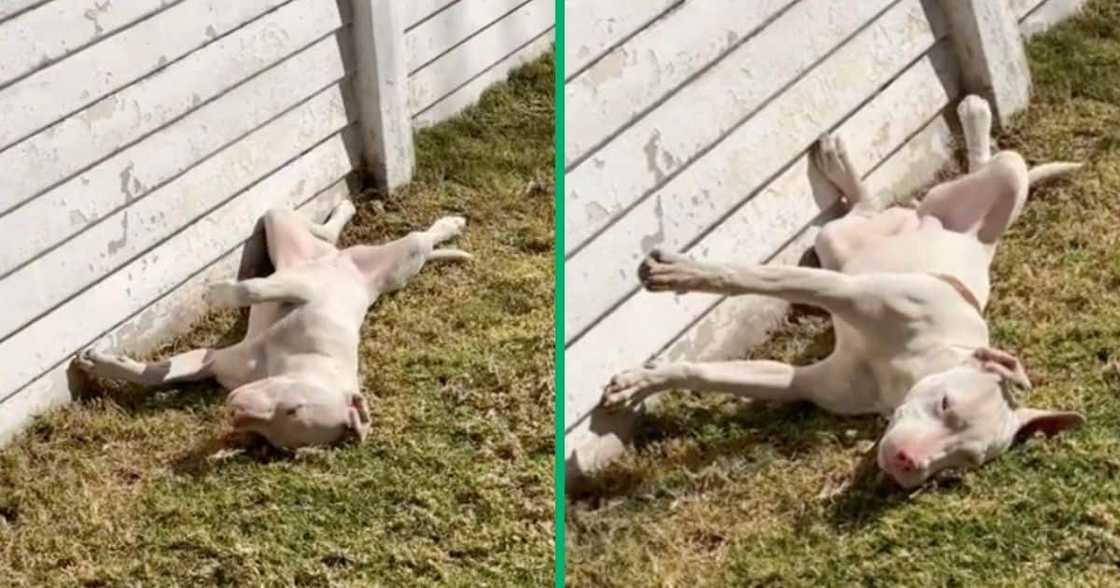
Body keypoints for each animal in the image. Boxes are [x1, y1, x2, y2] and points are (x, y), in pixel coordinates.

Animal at [74, 199, 468, 448]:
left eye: (272, 434)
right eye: (294, 407)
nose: (233, 410)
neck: (294, 361)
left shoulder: (214, 361)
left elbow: (159, 374)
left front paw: (104, 364)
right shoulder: (301, 293)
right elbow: (250, 288)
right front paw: (219, 292)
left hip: (396, 268)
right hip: (300, 235)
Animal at [604, 96, 1084, 488]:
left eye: (959, 464)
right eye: (946, 404)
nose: (909, 464)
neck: (913, 364)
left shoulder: (803, 382)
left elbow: (714, 373)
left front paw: (642, 381)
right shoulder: (842, 291)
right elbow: (753, 276)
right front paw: (680, 273)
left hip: (843, 242)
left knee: (866, 208)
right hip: (986, 188)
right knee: (991, 164)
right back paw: (972, 115)